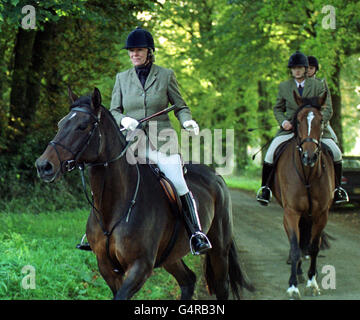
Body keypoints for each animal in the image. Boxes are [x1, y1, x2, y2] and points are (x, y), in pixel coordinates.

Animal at [35, 87, 255, 300]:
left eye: (83, 126)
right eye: (60, 123)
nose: (43, 166)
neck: (115, 207)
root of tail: (216, 177)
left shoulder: (140, 266)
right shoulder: (106, 267)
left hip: (219, 249)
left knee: (221, 287)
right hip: (170, 256)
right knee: (188, 280)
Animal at [272, 90, 334, 300]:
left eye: (321, 120)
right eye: (297, 121)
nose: (309, 156)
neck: (307, 173)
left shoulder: (321, 214)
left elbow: (314, 248)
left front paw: (312, 283)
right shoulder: (291, 212)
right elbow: (295, 246)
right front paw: (292, 287)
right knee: (297, 243)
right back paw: (297, 273)